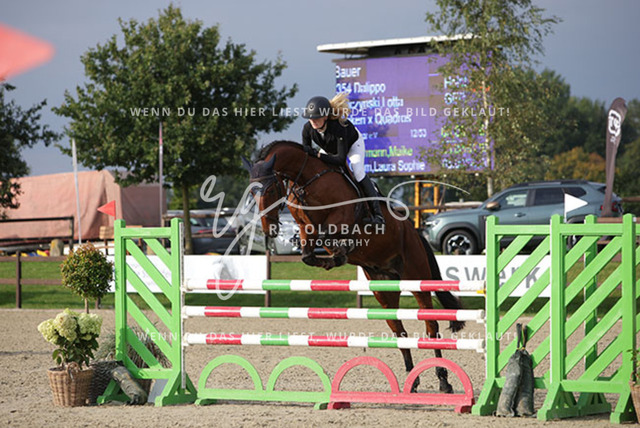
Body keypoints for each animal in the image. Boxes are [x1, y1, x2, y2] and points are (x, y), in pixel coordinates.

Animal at [242, 140, 465, 393]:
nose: (268, 229)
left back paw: (443, 380)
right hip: (383, 289)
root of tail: (414, 230)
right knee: (399, 329)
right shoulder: (306, 228)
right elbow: (308, 253)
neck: (306, 181)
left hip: (416, 277)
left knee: (431, 325)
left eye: (270, 190)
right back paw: (412, 380)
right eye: (252, 192)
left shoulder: (342, 219)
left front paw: (339, 254)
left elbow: (328, 236)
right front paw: (330, 258)